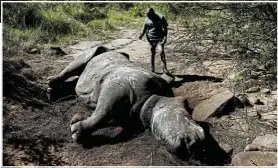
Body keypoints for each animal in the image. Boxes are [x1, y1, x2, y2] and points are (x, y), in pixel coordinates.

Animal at [47, 45, 204, 156]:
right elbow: (103, 113)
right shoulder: (119, 85)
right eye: (182, 119)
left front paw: (77, 119)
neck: (151, 100)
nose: (195, 145)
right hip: (95, 52)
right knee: (81, 61)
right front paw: (76, 131)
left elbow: (108, 115)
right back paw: (51, 85)